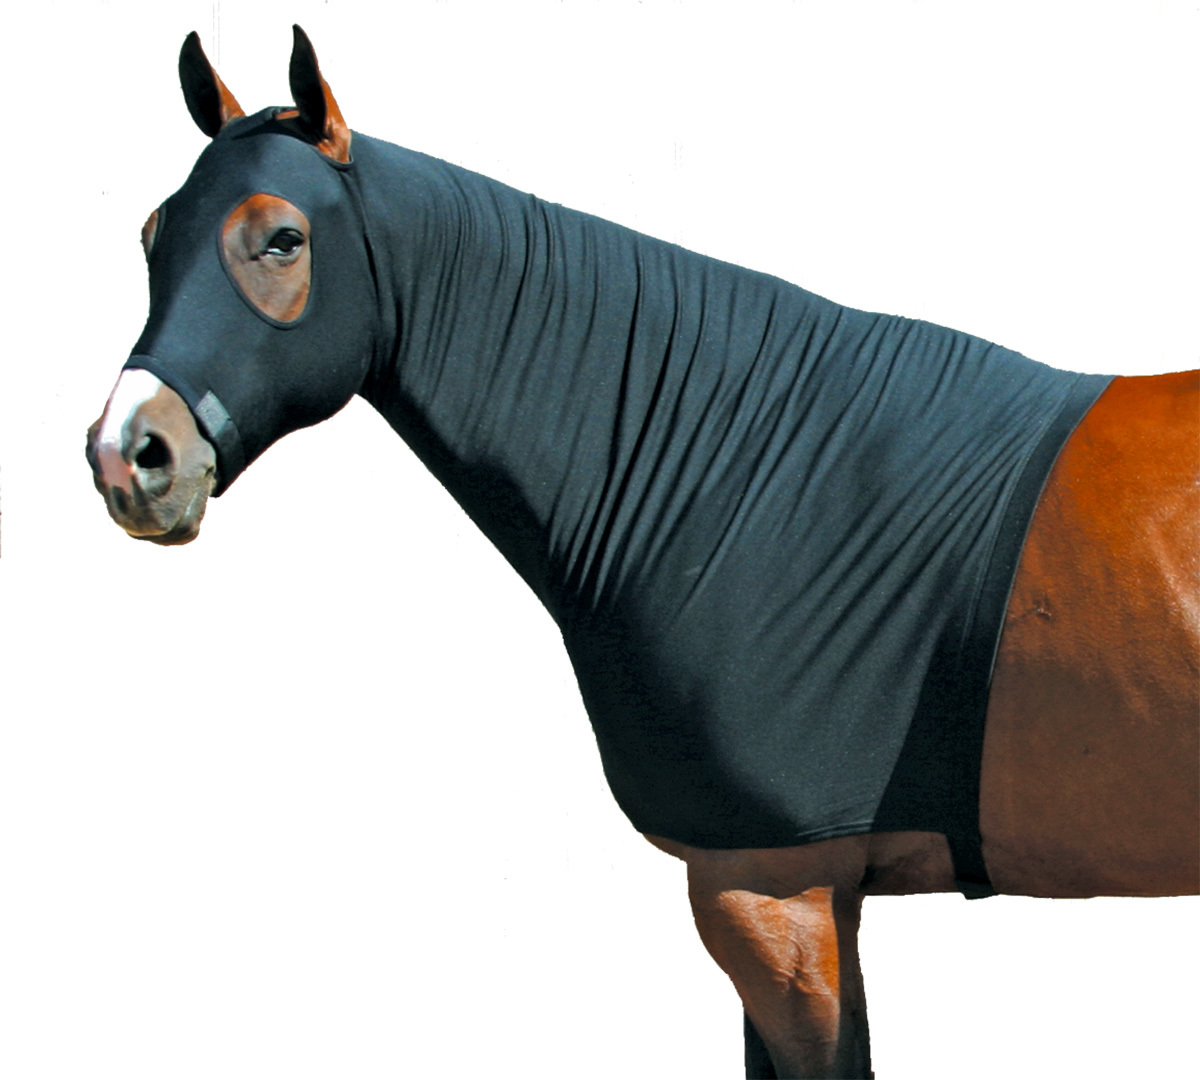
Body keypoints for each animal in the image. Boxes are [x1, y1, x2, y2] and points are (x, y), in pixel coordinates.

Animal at [86, 27, 1198, 1079]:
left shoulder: (771, 889)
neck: (750, 476)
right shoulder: (797, 895)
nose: (130, 456)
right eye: (150, 237)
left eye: (281, 238)